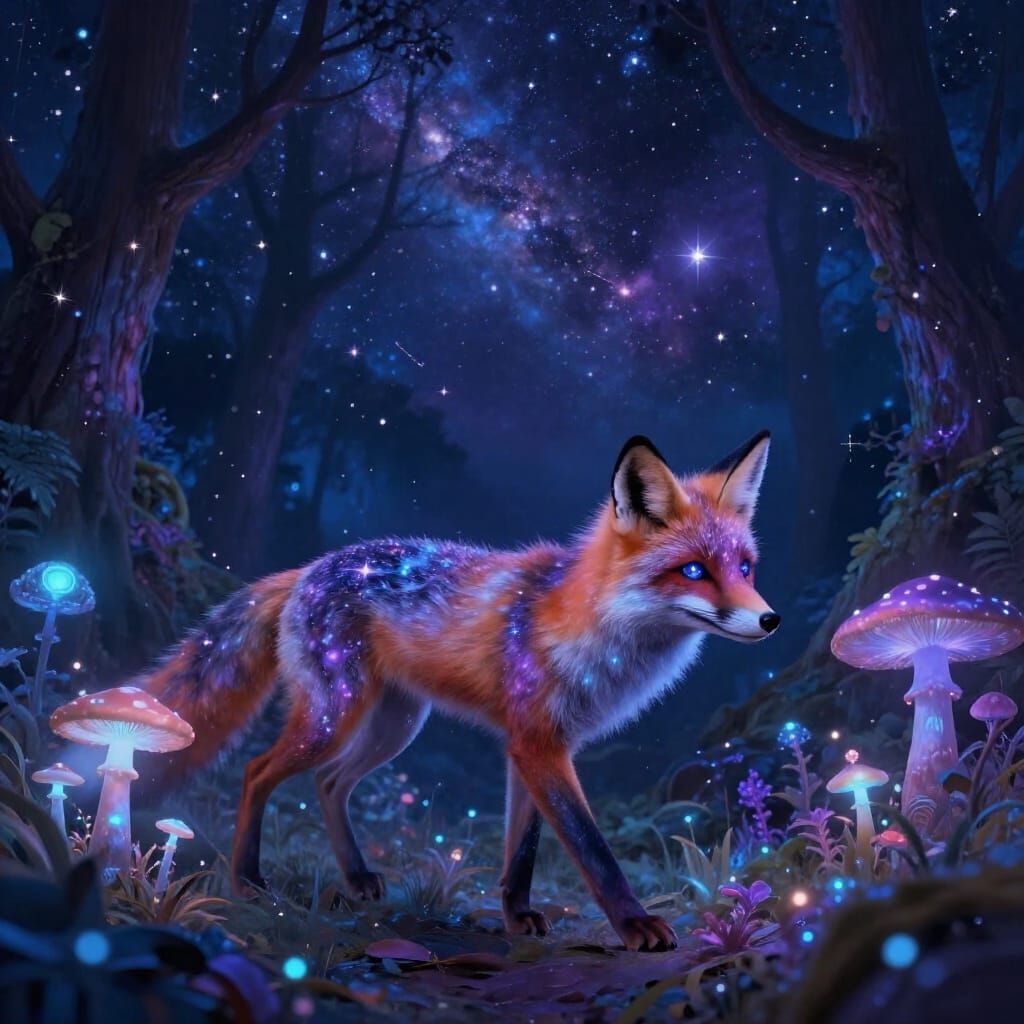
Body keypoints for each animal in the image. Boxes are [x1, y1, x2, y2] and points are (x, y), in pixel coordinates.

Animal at [138, 431, 779, 951]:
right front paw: (634, 924)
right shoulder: (538, 744)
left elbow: (523, 849)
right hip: (333, 719)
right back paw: (248, 880)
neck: (593, 628)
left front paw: (517, 917)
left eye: (745, 567)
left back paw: (356, 877)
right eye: (694, 571)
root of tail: (306, 570)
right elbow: (591, 847)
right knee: (256, 772)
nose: (770, 621)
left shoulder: (534, 747)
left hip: (395, 727)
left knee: (328, 783)